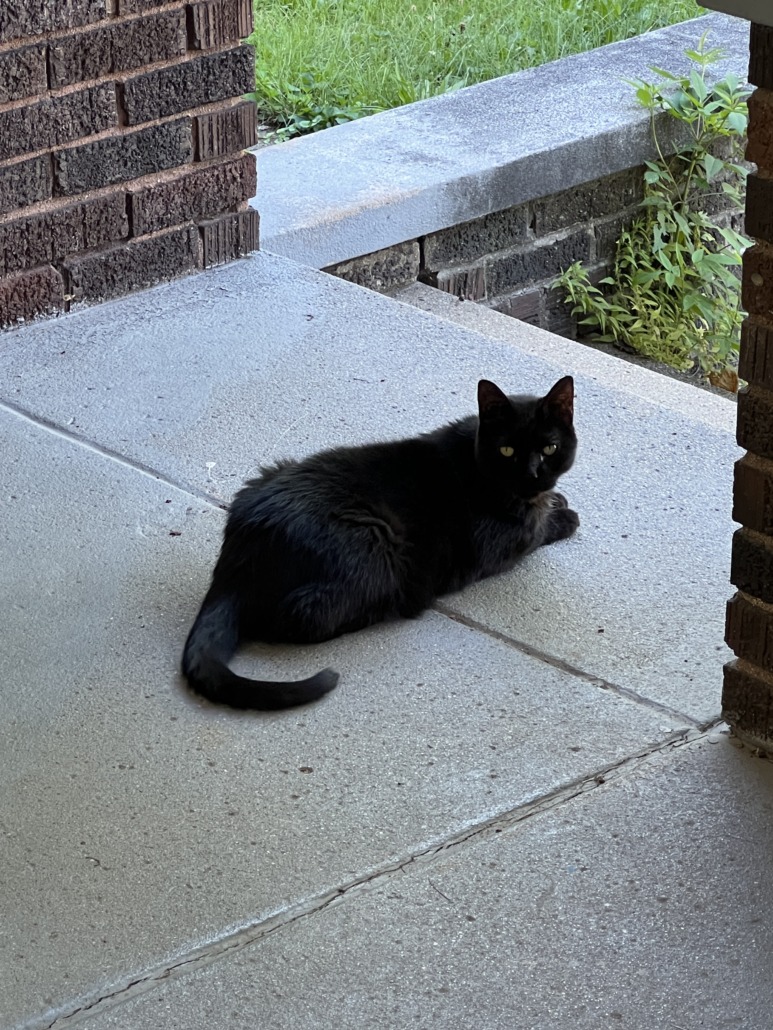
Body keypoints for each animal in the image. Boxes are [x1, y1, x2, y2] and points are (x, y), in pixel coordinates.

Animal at [182, 375, 579, 710]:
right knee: (299, 617)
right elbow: (538, 531)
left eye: (550, 448)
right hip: (377, 546)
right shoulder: (504, 543)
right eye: (507, 450)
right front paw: (563, 516)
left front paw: (557, 501)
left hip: (270, 471)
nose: (533, 474)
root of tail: (236, 561)